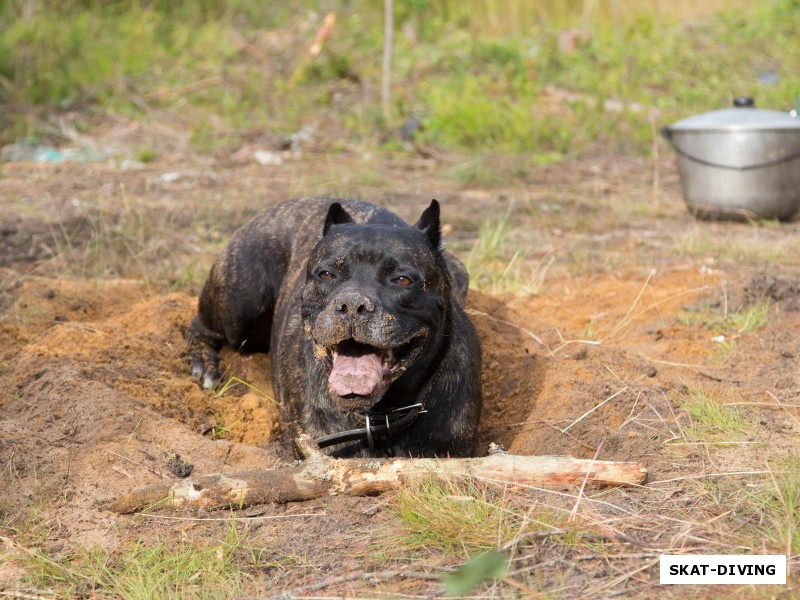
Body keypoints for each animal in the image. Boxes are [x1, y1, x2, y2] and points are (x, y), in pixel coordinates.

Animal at [189, 197, 482, 454]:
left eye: (402, 280)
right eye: (326, 274)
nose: (352, 304)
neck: (378, 417)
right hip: (240, 304)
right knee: (201, 326)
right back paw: (203, 364)